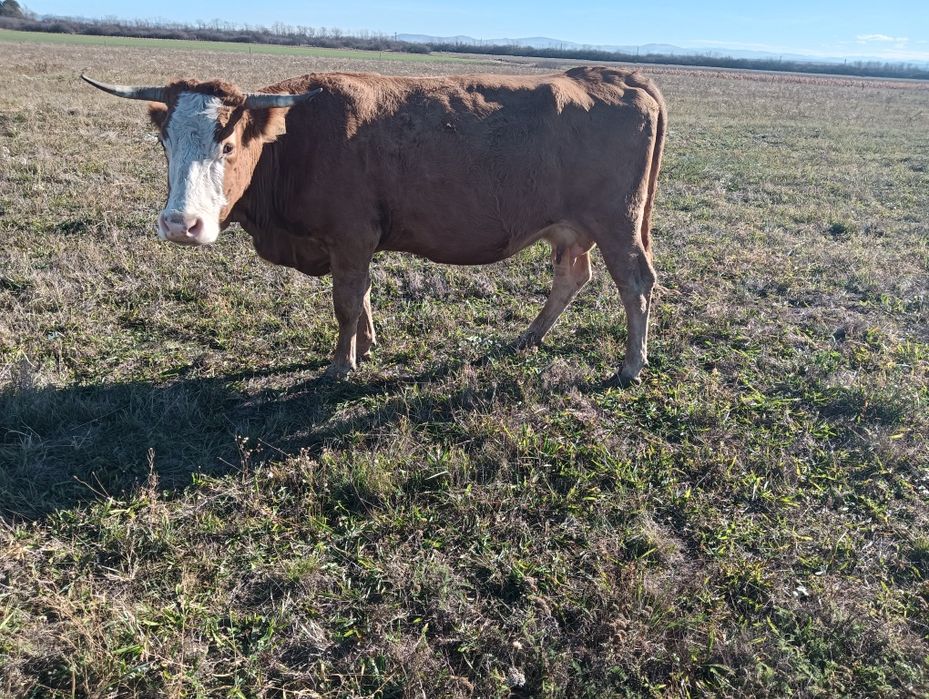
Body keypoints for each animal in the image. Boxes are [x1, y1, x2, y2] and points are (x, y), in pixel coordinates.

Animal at [82, 66, 666, 385]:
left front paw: (343, 363)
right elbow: (362, 295)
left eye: (227, 145)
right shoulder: (356, 244)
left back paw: (631, 364)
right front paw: (367, 344)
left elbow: (345, 300)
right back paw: (527, 337)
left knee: (636, 283)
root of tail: (617, 76)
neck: (297, 141)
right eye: (165, 142)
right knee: (571, 278)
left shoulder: (350, 238)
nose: (181, 224)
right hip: (572, 229)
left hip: (618, 225)